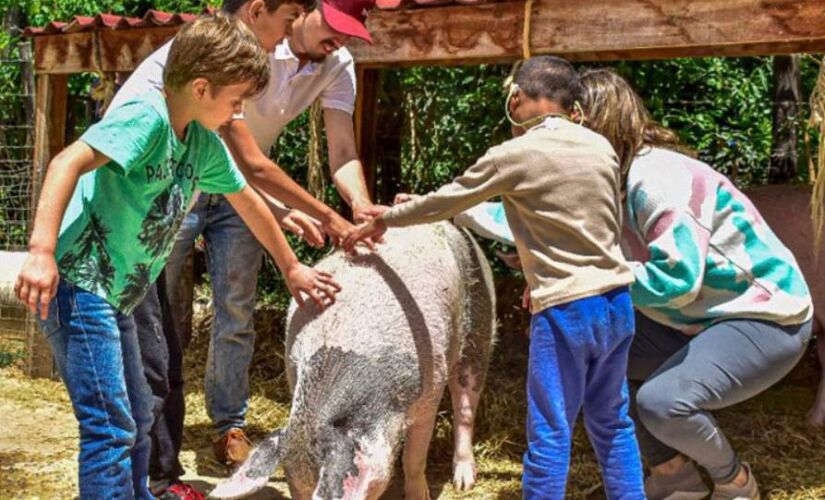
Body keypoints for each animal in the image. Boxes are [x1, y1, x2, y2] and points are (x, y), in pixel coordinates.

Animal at [212, 223, 496, 500]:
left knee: (466, 402)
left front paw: (419, 494)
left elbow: (414, 459)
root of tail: (450, 225)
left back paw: (463, 483)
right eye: (294, 491)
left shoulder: (430, 390)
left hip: (480, 318)